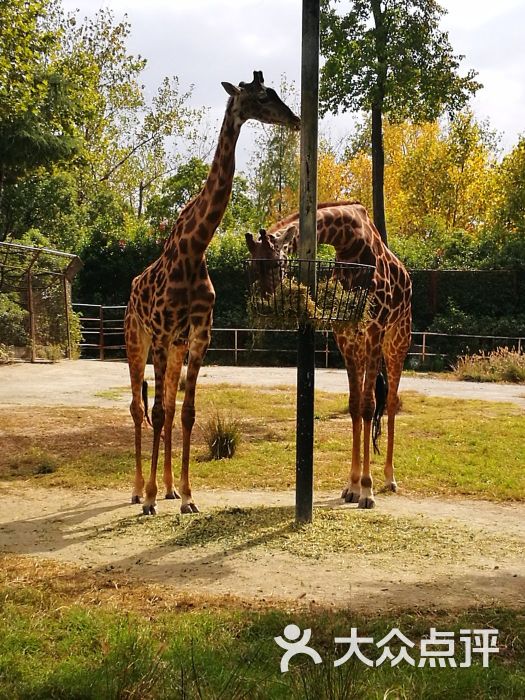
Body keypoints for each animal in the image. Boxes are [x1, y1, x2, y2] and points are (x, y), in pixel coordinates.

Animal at [123, 72, 300, 516]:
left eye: (274, 92)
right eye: (261, 97)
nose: (295, 119)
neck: (194, 248)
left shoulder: (198, 336)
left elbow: (184, 412)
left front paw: (186, 495)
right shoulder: (162, 334)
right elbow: (155, 410)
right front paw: (150, 499)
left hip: (173, 347)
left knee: (167, 410)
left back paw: (167, 489)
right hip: (137, 339)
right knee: (138, 407)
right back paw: (138, 490)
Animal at [244, 201, 412, 508]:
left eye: (276, 263)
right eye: (251, 266)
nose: (266, 303)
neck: (349, 243)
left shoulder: (374, 330)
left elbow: (369, 406)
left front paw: (367, 490)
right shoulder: (344, 336)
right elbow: (355, 405)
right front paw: (352, 486)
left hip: (397, 339)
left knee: (392, 402)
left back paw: (389, 478)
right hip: (363, 343)